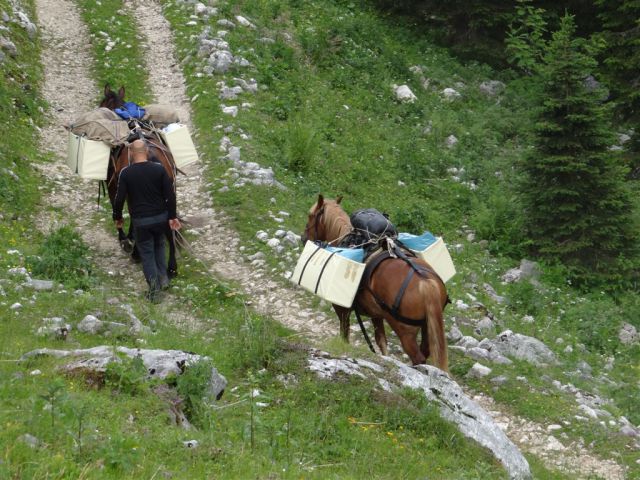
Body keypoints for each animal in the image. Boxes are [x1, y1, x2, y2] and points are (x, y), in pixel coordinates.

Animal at [302, 195, 448, 372]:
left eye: (310, 215)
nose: (304, 238)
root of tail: (426, 283)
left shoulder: (342, 309)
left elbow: (345, 334)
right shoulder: (376, 314)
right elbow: (381, 341)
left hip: (405, 331)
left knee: (418, 357)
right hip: (427, 327)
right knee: (424, 352)